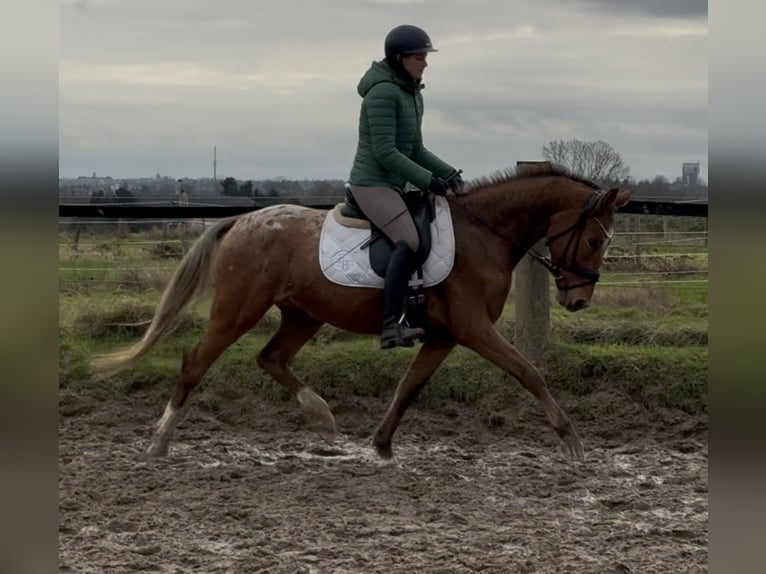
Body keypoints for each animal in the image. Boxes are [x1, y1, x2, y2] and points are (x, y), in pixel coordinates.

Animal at [91, 165, 630, 461]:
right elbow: (528, 372)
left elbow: (409, 386)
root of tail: (242, 220)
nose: (578, 300)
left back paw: (321, 416)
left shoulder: (444, 335)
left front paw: (382, 444)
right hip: (237, 311)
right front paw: (570, 440)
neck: (485, 233)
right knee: (195, 364)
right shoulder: (474, 328)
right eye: (595, 239)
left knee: (272, 359)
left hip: (303, 314)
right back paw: (160, 441)